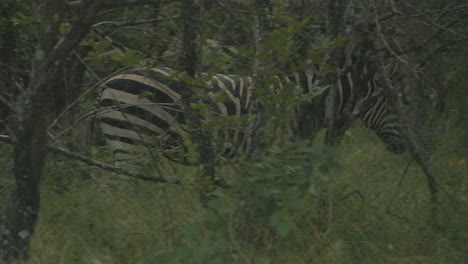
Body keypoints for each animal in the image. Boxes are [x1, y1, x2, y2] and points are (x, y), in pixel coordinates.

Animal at [96, 65, 406, 170]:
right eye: (395, 102)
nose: (405, 149)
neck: (305, 101)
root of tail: (109, 79)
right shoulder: (278, 147)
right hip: (132, 138)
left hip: (128, 141)